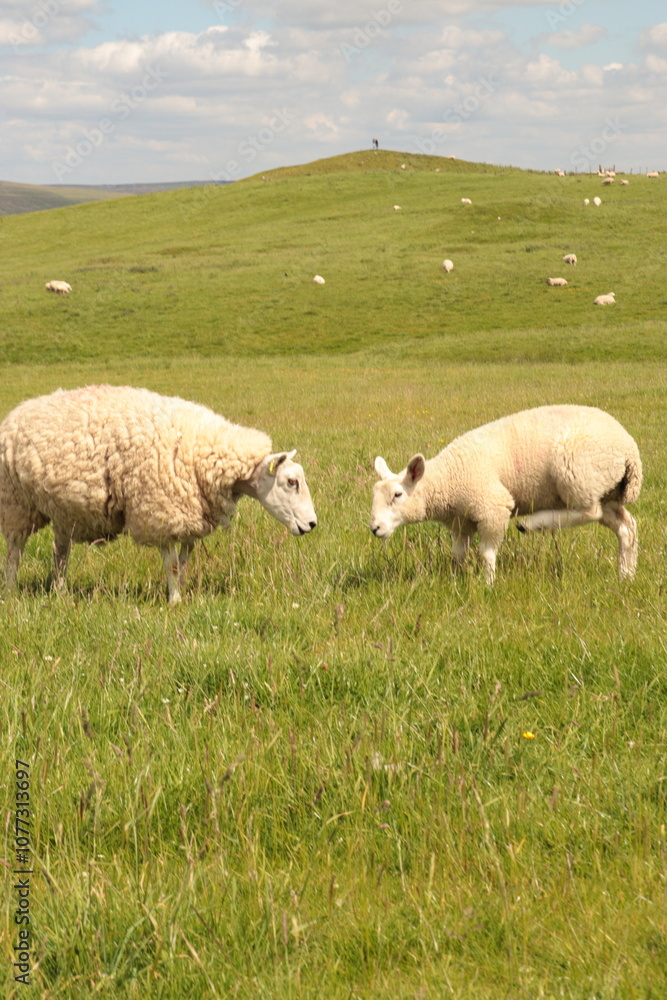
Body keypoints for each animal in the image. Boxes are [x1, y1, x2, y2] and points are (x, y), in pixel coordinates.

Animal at [0, 386, 317, 604]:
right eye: (291, 482)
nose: (312, 524)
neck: (202, 449)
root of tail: (16, 412)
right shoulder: (161, 511)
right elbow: (171, 564)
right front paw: (174, 601)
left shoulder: (191, 514)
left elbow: (184, 562)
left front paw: (183, 592)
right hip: (16, 503)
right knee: (15, 552)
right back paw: (12, 591)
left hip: (63, 511)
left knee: (61, 552)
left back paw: (59, 591)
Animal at [370, 405, 641, 584]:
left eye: (397, 495)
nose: (375, 528)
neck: (448, 478)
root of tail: (629, 448)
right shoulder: (460, 523)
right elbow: (458, 554)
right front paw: (456, 580)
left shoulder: (492, 506)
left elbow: (487, 553)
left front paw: (488, 584)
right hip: (606, 488)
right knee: (626, 526)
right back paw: (626, 575)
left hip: (577, 474)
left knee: (589, 511)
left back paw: (532, 523)